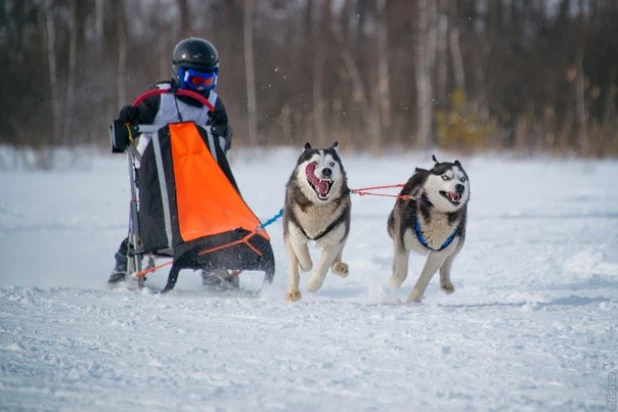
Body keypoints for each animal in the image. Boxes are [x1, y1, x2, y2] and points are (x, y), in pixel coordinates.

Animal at [282, 141, 348, 300]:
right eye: (314, 163)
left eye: (332, 163)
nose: (327, 171)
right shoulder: (294, 231)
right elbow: (303, 259)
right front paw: (304, 266)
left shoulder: (335, 237)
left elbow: (323, 265)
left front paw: (313, 284)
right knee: (293, 264)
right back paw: (293, 292)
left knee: (336, 256)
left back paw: (339, 267)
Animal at [388, 154, 470, 302]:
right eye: (445, 177)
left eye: (462, 179)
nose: (460, 187)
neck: (439, 213)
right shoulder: (403, 241)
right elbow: (401, 273)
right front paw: (393, 285)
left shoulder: (439, 253)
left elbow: (424, 279)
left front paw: (412, 300)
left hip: (459, 240)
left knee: (449, 260)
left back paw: (446, 283)